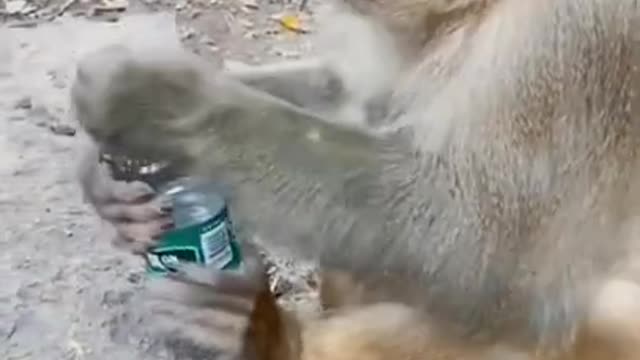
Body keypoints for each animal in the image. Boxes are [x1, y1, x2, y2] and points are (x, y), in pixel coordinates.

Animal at [71, 0, 640, 358]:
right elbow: (356, 98)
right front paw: (109, 181)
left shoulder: (577, 28)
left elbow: (490, 253)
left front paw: (164, 110)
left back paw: (271, 340)